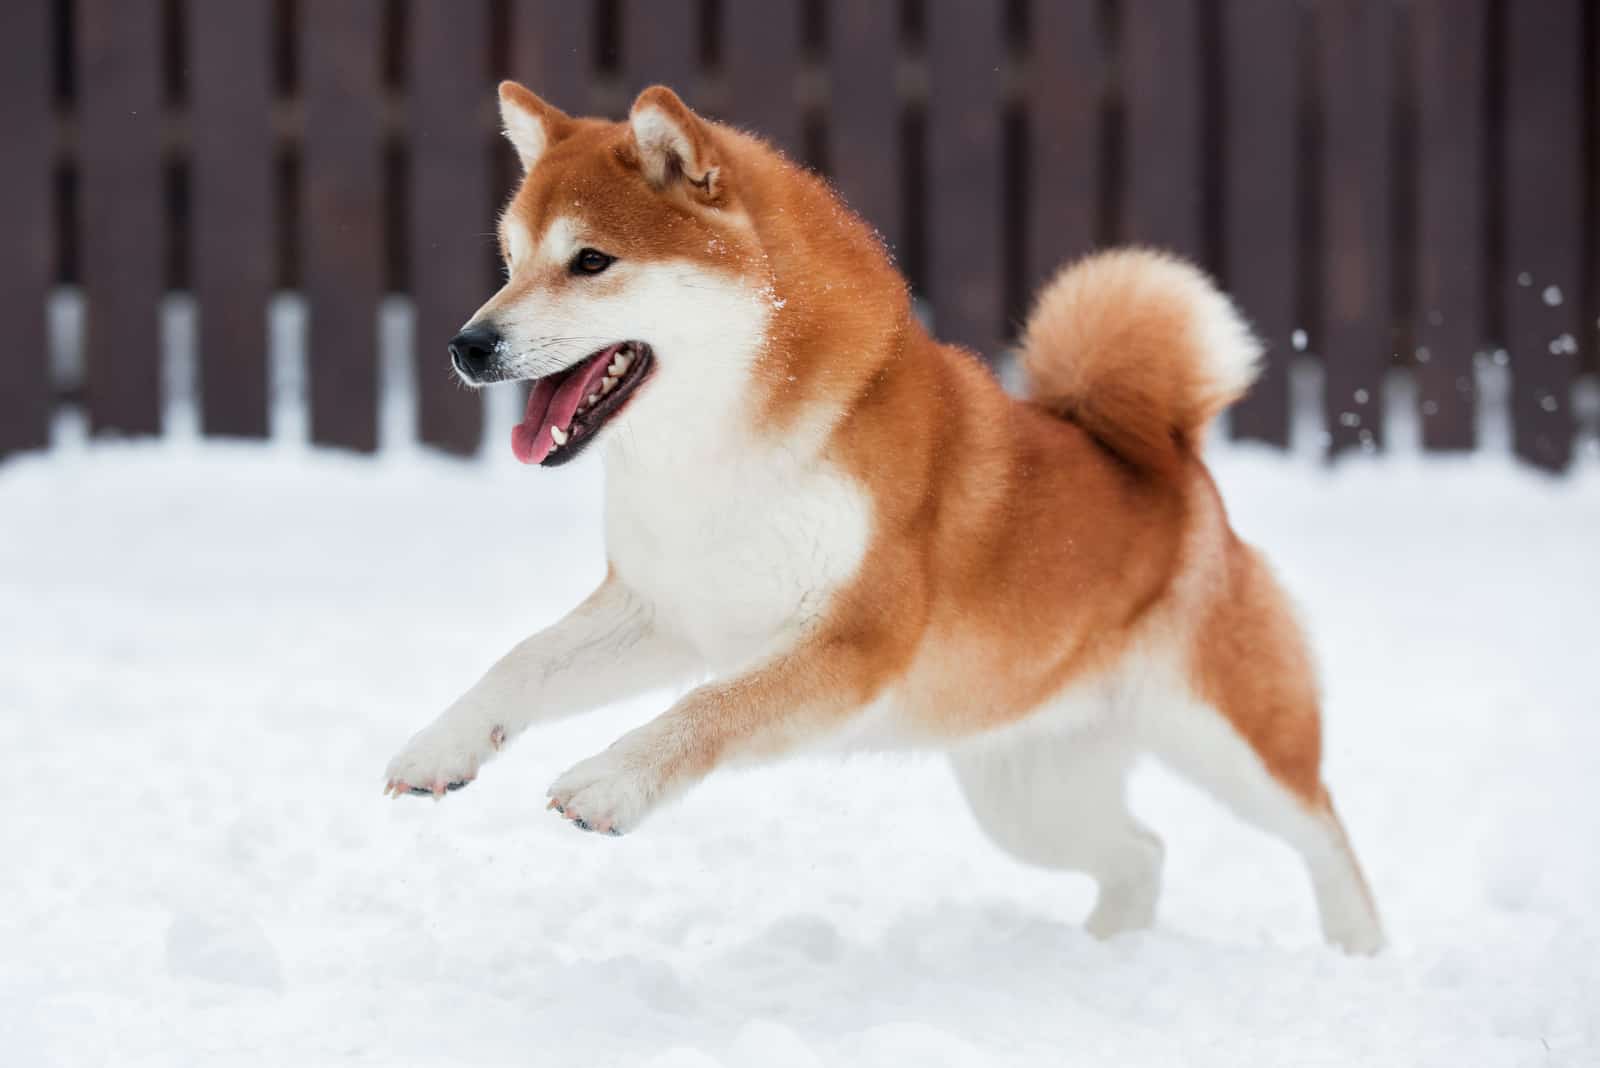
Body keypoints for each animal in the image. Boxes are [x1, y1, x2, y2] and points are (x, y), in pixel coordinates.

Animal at [380, 81, 1382, 952]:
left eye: (590, 261)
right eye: (511, 262)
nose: (467, 345)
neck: (722, 453)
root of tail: (1170, 459)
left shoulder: (858, 640)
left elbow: (710, 707)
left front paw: (611, 782)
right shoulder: (669, 609)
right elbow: (524, 662)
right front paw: (442, 745)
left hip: (1227, 741)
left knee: (1324, 829)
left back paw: (1357, 951)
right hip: (1025, 791)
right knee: (1142, 855)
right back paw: (1106, 954)